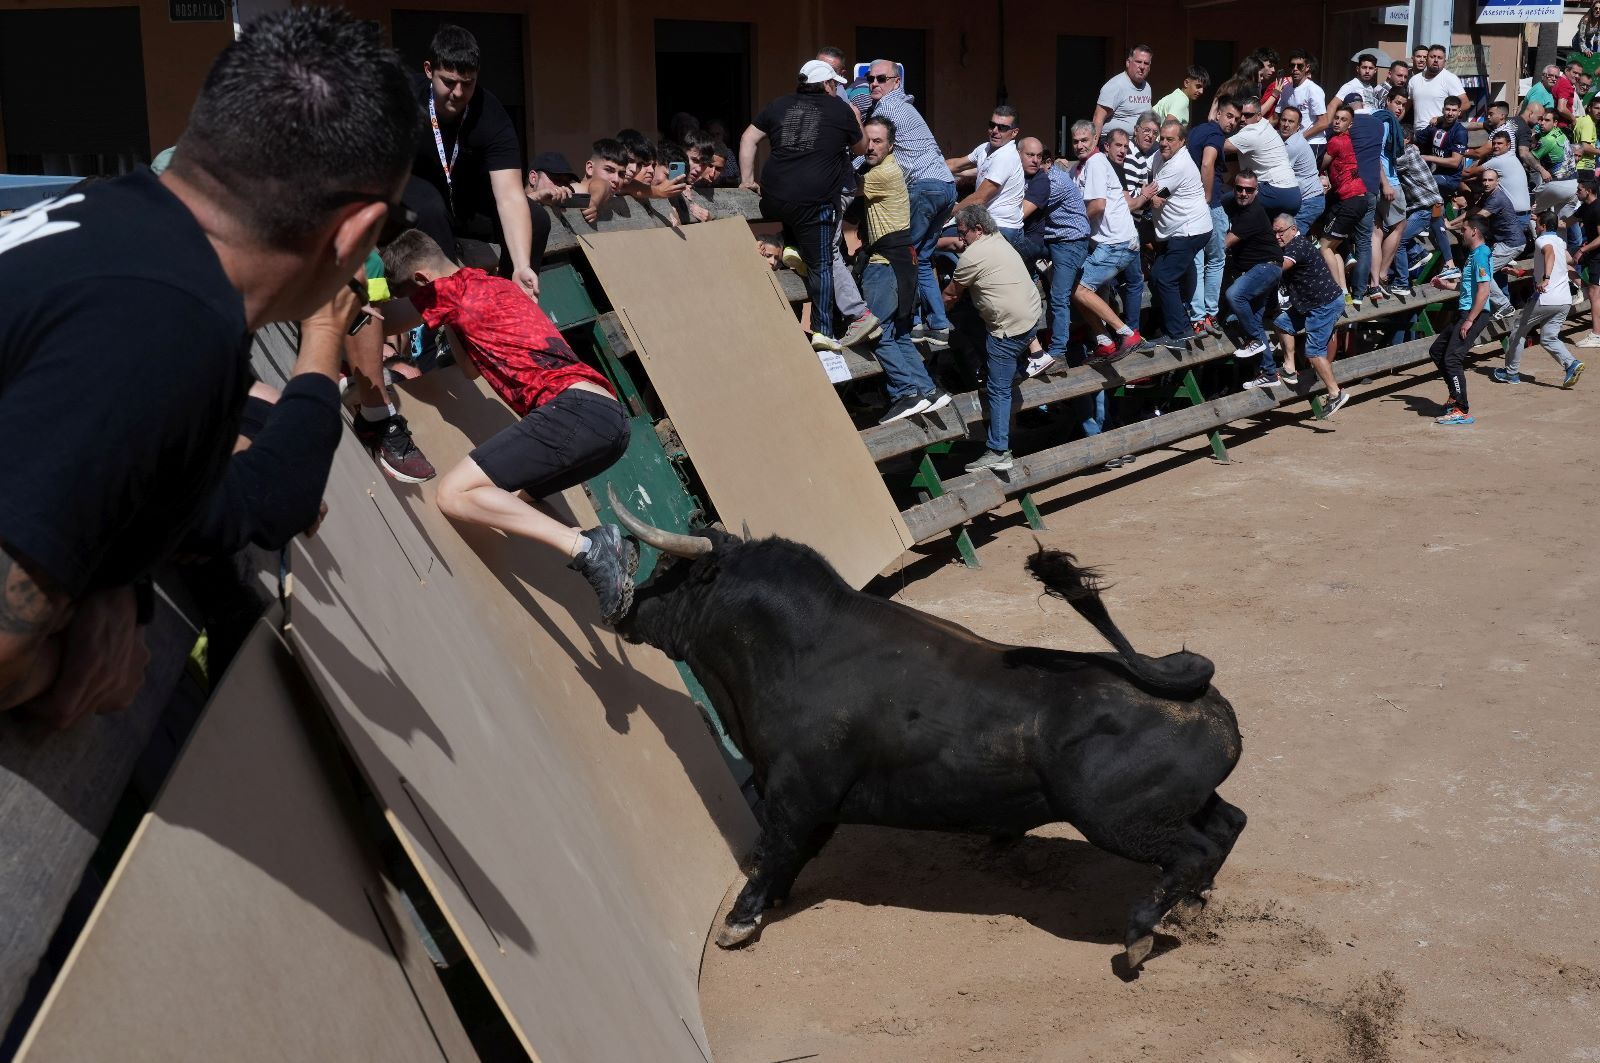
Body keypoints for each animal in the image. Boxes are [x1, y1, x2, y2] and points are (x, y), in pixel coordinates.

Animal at [604, 486, 1241, 966]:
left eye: (669, 569)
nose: (625, 609)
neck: (797, 650)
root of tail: (1188, 688)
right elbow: (792, 855)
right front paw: (771, 903)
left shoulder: (793, 791)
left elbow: (775, 848)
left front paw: (740, 920)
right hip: (1179, 805)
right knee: (1226, 826)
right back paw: (1191, 901)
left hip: (1116, 819)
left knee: (1191, 850)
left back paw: (1138, 935)